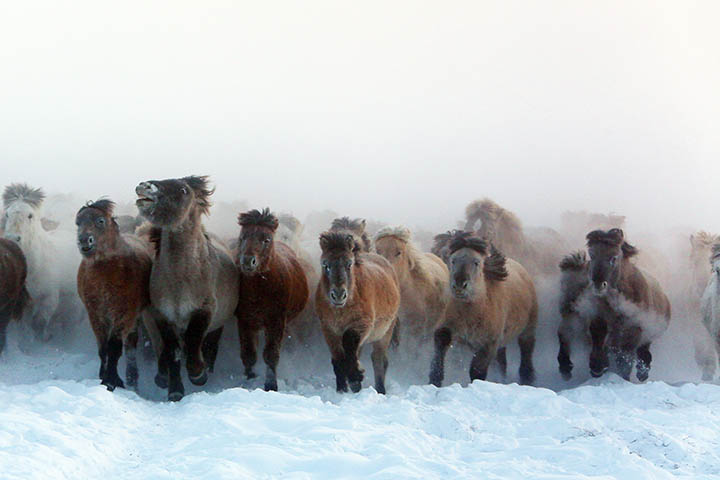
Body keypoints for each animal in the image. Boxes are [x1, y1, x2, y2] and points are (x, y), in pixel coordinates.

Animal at [2, 182, 83, 340]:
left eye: (30, 215)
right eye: (7, 214)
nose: (12, 239)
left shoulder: (49, 298)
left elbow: (38, 323)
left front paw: (46, 337)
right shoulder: (21, 303)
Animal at [134, 176, 238, 402]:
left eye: (183, 190)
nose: (144, 186)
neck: (180, 282)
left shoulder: (204, 310)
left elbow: (193, 340)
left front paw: (198, 374)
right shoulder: (162, 315)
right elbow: (172, 351)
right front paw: (175, 390)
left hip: (218, 324)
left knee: (209, 344)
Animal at [233, 208, 306, 392]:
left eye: (266, 239)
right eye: (242, 236)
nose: (247, 261)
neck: (259, 290)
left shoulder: (276, 321)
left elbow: (271, 354)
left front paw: (271, 385)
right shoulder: (245, 320)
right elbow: (248, 353)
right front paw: (249, 379)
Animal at [318, 232, 402, 394]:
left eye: (349, 264)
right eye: (325, 265)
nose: (338, 295)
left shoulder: (361, 325)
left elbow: (349, 344)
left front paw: (356, 377)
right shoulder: (329, 330)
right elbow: (338, 359)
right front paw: (342, 389)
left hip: (385, 332)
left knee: (378, 359)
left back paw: (380, 389)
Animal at [428, 232, 536, 386]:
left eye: (476, 262)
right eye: (453, 260)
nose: (460, 285)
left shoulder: (488, 343)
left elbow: (477, 370)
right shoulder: (447, 328)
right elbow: (439, 352)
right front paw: (435, 380)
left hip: (528, 329)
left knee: (526, 351)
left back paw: (526, 378)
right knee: (502, 361)